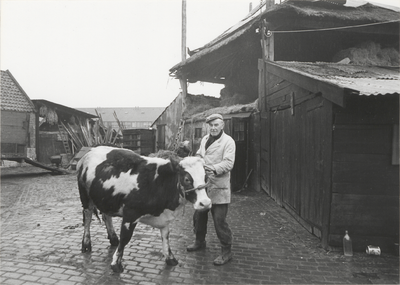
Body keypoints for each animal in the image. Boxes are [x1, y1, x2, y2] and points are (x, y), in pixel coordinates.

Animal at [76, 145, 211, 272]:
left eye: (206, 177)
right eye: (187, 179)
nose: (205, 203)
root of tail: (90, 151)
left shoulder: (164, 217)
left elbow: (166, 237)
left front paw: (170, 258)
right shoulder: (130, 214)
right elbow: (125, 238)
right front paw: (116, 264)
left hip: (106, 199)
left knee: (106, 216)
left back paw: (113, 239)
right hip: (85, 197)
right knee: (87, 218)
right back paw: (86, 244)